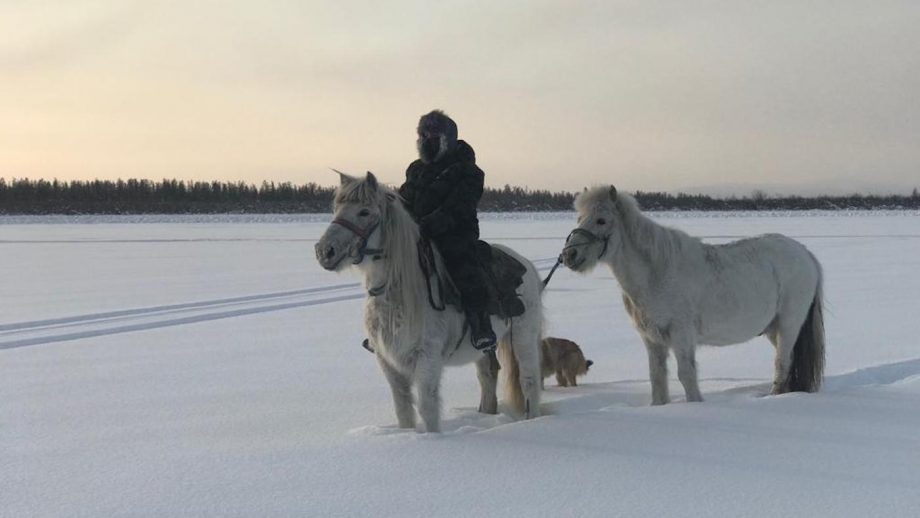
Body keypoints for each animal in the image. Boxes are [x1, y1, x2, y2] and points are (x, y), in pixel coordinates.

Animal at [316, 173, 548, 432]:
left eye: (364, 212)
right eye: (336, 208)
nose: (325, 251)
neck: (399, 295)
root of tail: (527, 266)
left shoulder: (427, 358)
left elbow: (427, 406)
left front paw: (433, 437)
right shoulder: (388, 361)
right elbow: (403, 408)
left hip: (523, 337)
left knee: (529, 381)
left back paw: (533, 420)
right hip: (487, 347)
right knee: (488, 376)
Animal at [560, 187, 828, 406]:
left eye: (601, 220)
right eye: (579, 218)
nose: (569, 256)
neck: (656, 272)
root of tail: (805, 254)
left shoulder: (681, 334)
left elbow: (686, 374)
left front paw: (695, 404)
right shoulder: (652, 339)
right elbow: (657, 377)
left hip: (789, 324)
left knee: (782, 363)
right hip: (773, 329)